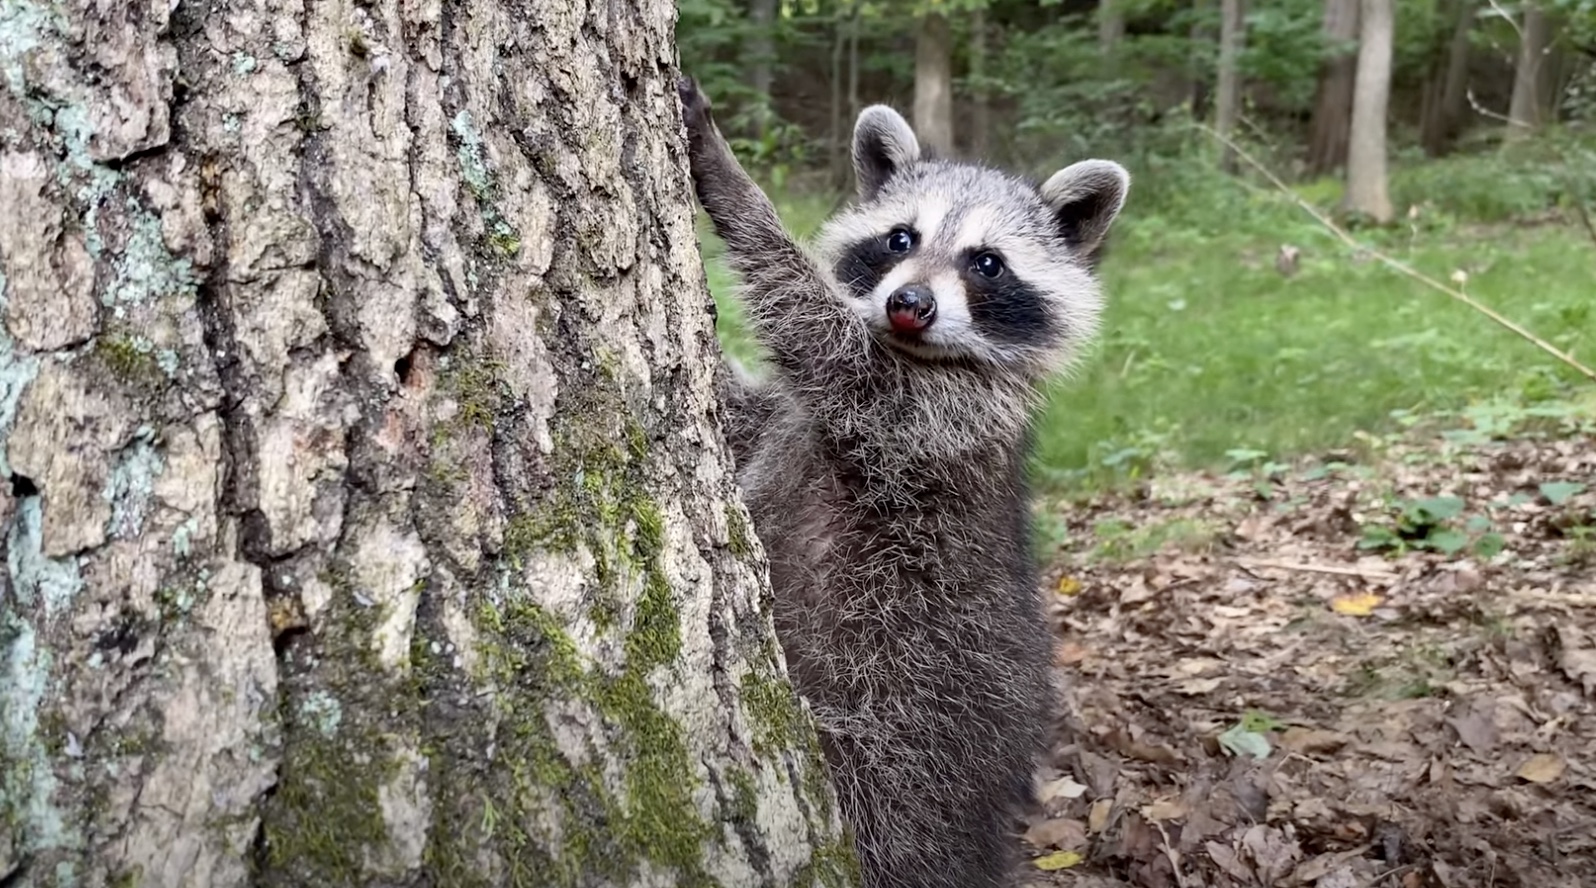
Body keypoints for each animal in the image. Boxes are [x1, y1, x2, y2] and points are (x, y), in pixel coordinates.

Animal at [679, 77, 1129, 888]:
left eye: (987, 263)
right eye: (899, 240)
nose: (909, 304)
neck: (920, 352)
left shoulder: (930, 417)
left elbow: (815, 328)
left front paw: (733, 187)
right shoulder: (797, 414)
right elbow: (747, 411)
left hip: (899, 735)